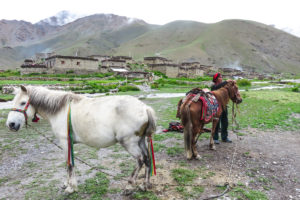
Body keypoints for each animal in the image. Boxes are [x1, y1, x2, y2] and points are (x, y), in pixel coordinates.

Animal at [5, 85, 156, 192]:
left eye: (23, 102)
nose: (11, 124)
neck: (60, 109)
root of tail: (145, 108)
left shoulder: (65, 142)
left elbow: (69, 164)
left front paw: (70, 188)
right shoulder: (68, 144)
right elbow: (68, 163)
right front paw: (66, 184)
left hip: (130, 143)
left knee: (140, 160)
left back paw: (130, 185)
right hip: (141, 141)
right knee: (147, 158)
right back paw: (145, 185)